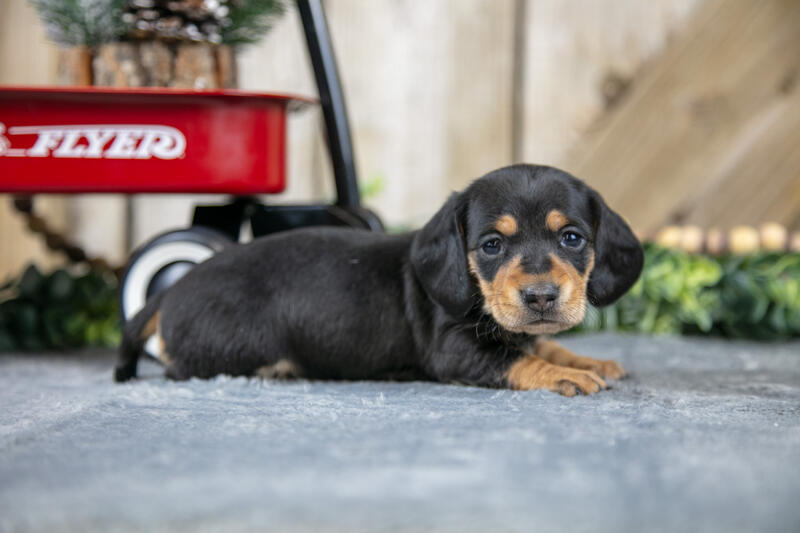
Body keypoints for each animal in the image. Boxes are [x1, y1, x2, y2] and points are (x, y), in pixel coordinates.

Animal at [115, 164, 643, 396]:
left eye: (571, 238)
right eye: (492, 245)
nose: (541, 298)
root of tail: (170, 292)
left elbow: (539, 343)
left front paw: (587, 360)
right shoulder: (455, 351)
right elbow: (519, 360)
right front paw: (565, 374)